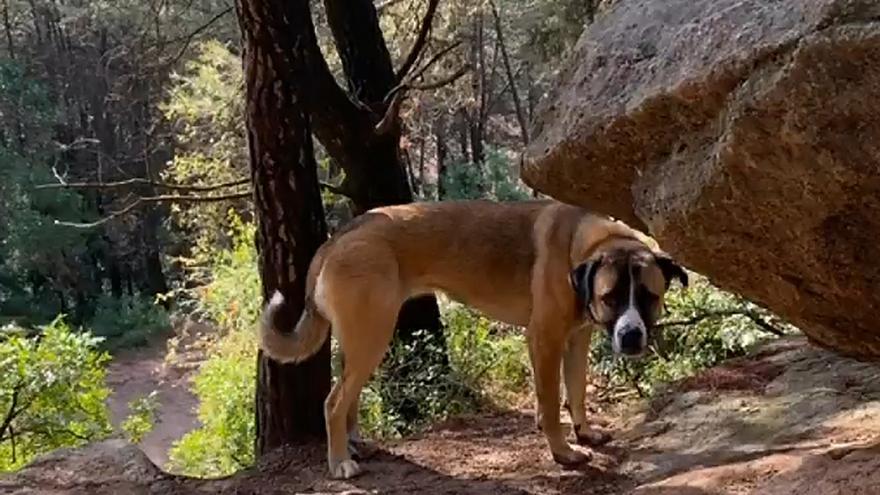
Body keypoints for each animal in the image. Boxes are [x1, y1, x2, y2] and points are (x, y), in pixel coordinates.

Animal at [260, 200, 688, 478]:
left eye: (648, 297)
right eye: (611, 297)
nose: (631, 337)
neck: (581, 247)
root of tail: (338, 236)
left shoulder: (576, 341)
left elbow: (577, 390)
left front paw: (584, 432)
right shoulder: (544, 341)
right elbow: (552, 404)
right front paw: (564, 452)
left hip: (364, 339)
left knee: (347, 397)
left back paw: (352, 444)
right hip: (372, 336)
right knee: (333, 402)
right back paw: (340, 464)